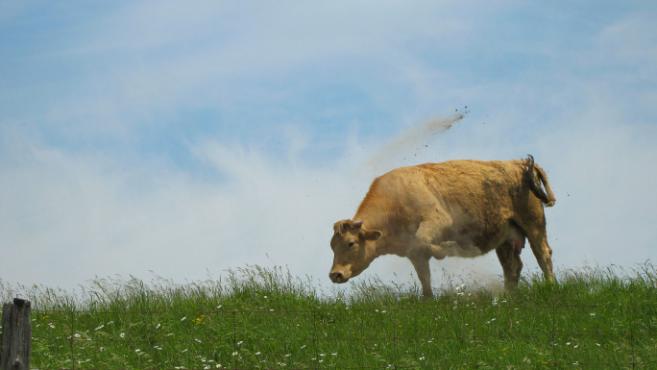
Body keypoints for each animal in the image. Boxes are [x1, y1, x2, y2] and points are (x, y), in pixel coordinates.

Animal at [328, 155, 552, 298]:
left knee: (543, 254)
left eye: (351, 243)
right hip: (505, 239)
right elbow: (424, 276)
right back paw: (508, 295)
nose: (335, 274)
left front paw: (449, 248)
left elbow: (424, 241)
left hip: (533, 223)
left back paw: (550, 285)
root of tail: (519, 163)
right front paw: (428, 298)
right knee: (512, 267)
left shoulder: (438, 220)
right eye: (332, 246)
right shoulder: (414, 254)